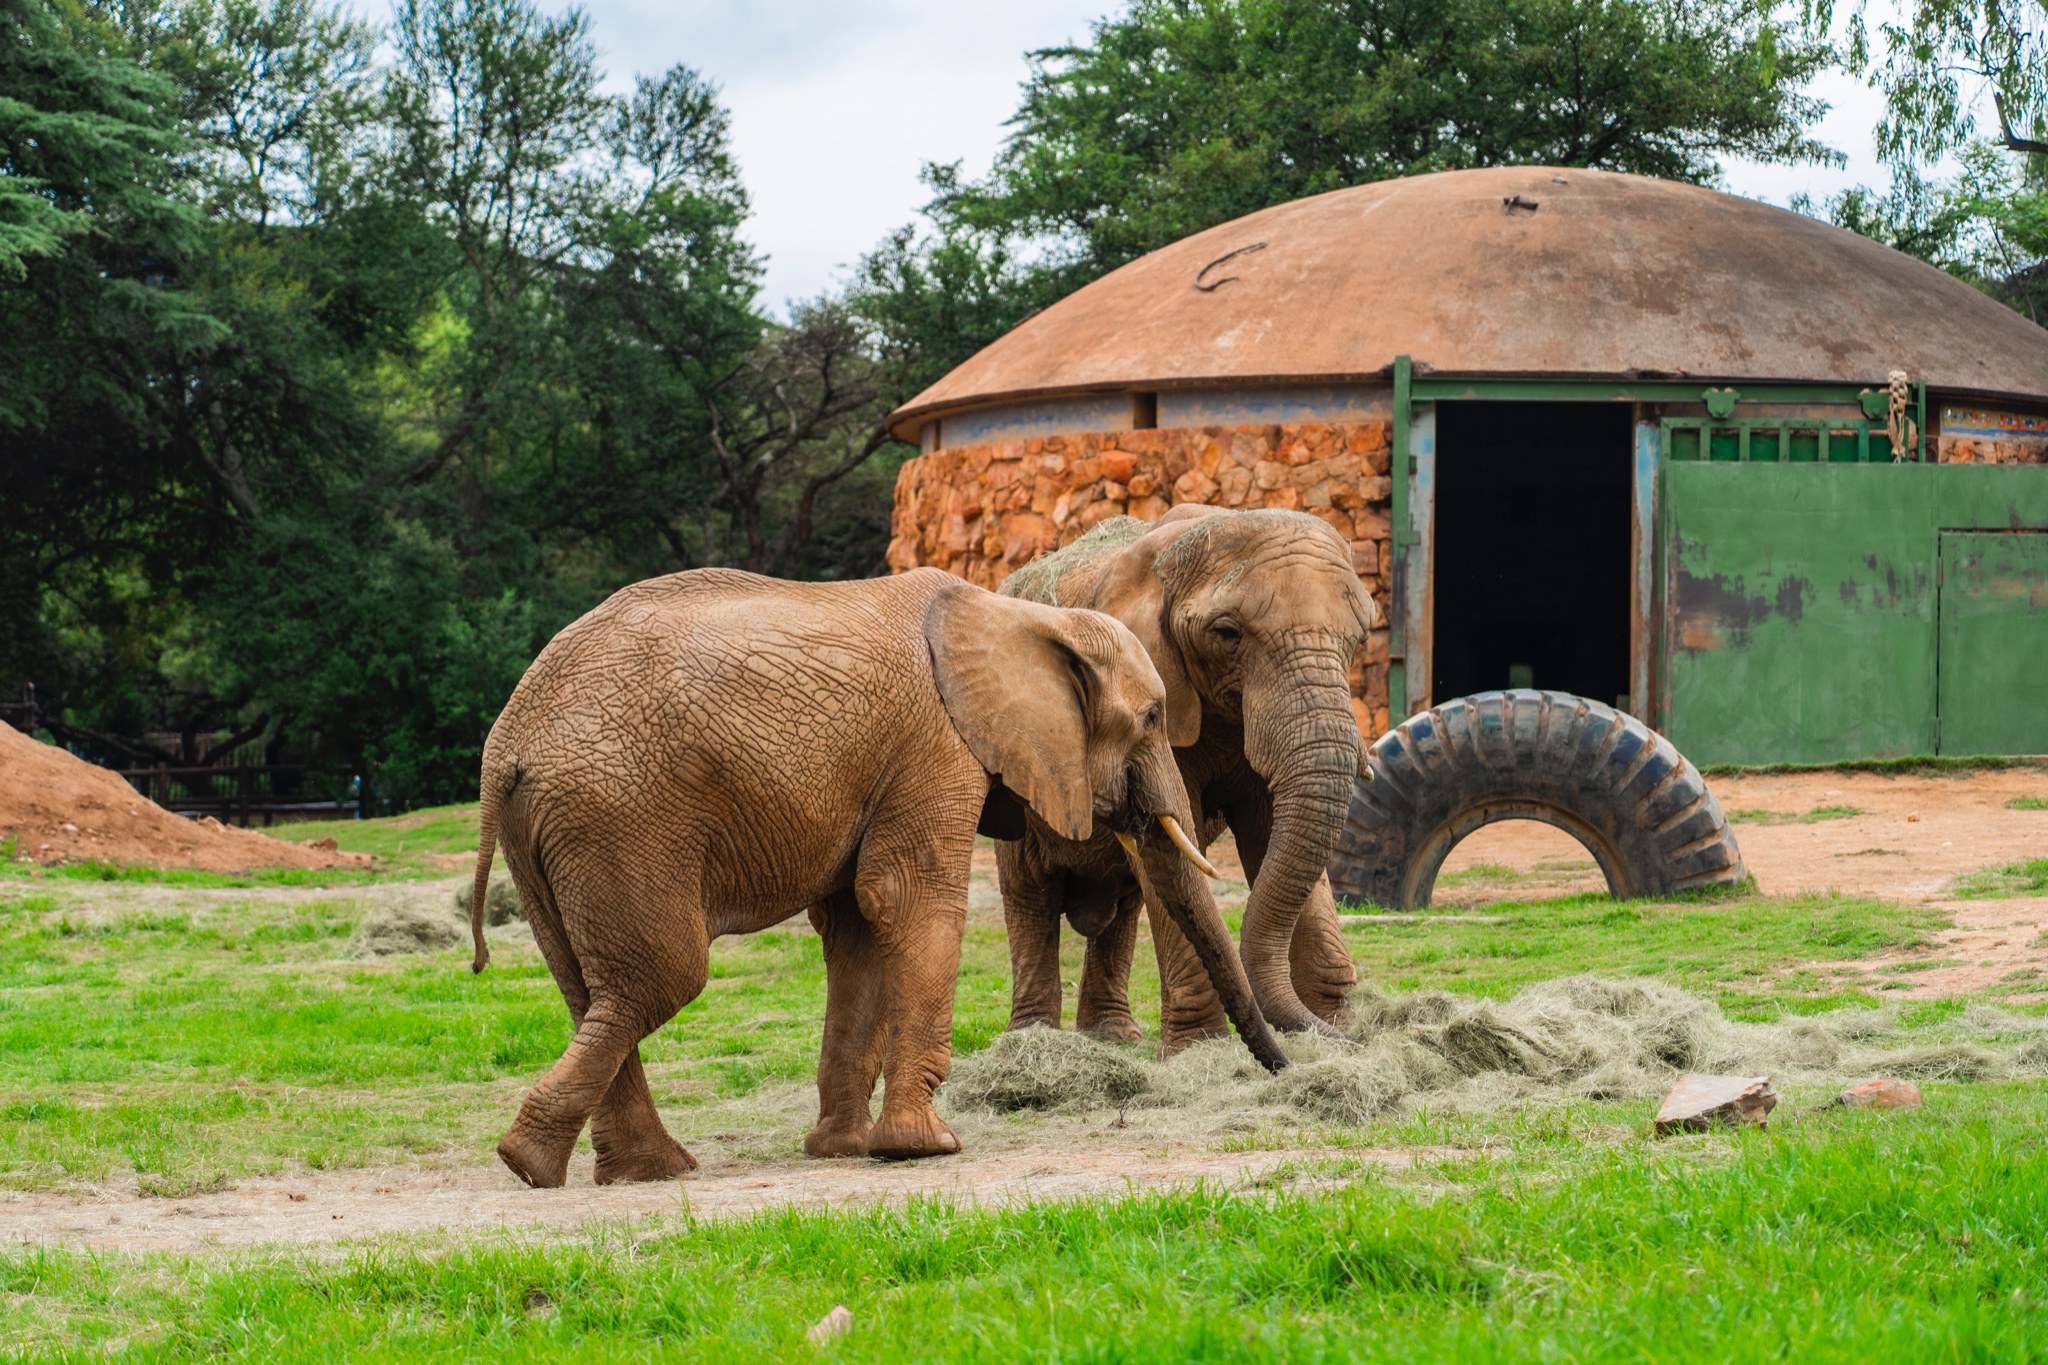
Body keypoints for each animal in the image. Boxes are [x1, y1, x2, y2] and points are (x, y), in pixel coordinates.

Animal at [468, 564, 1286, 1186]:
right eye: (1150, 719)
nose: (1282, 1072)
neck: (1020, 615)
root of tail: (507, 743)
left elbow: (858, 927)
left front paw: (844, 1150)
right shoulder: (936, 745)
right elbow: (907, 901)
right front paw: (924, 1148)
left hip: (553, 832)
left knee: (593, 988)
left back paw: (624, 1169)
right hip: (619, 817)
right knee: (661, 978)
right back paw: (540, 1164)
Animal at [999, 507, 1384, 1055]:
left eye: (1362, 638)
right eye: (1227, 633)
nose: (1353, 1039)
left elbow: (1269, 832)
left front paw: (1339, 1025)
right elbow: (1174, 837)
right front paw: (1202, 1048)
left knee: (1125, 901)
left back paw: (1111, 1036)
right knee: (1031, 895)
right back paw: (1032, 1040)